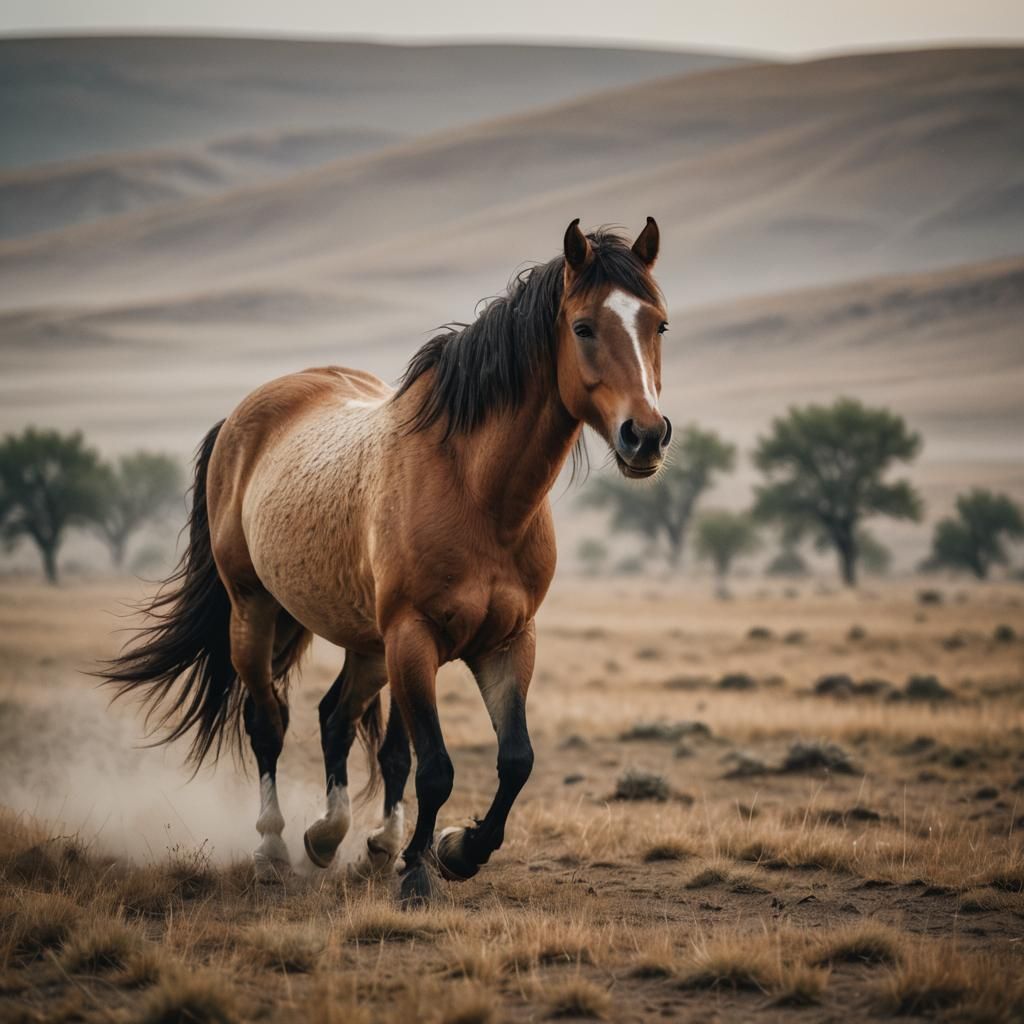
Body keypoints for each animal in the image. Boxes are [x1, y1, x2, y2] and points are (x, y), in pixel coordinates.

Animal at [103, 218, 671, 903]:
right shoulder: (412, 635)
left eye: (659, 325)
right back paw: (274, 847)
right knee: (268, 722)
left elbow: (511, 760)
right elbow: (434, 767)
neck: (477, 493)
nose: (646, 436)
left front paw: (452, 850)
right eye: (584, 327)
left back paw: (339, 838)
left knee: (335, 718)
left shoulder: (507, 640)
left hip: (369, 644)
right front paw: (420, 874)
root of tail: (247, 414)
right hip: (256, 613)